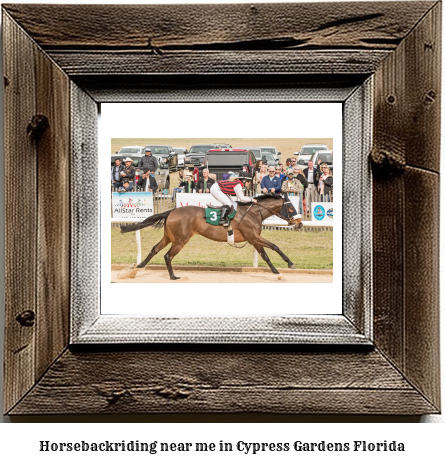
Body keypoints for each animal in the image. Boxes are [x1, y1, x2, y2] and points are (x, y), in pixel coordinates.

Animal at [119, 192, 302, 280]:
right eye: (291, 208)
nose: (299, 223)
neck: (253, 213)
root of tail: (171, 211)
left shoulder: (253, 239)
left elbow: (265, 255)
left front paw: (276, 271)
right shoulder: (253, 236)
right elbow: (275, 246)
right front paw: (290, 264)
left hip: (168, 237)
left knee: (155, 249)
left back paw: (139, 266)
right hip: (180, 240)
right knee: (167, 256)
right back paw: (173, 276)